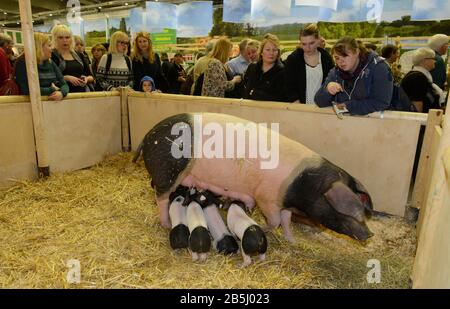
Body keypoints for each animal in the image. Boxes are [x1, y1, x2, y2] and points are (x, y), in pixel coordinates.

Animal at [136, 112, 372, 242]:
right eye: (348, 213)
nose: (369, 235)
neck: (303, 185)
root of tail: (146, 136)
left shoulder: (283, 202)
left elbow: (286, 220)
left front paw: (292, 240)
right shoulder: (266, 197)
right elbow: (275, 220)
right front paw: (265, 228)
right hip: (167, 171)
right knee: (161, 198)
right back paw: (166, 224)